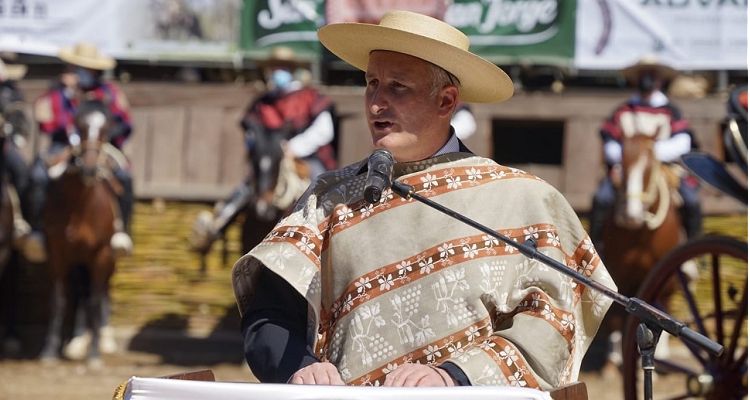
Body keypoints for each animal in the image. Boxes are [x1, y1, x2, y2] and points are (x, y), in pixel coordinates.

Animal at [38, 99, 122, 366]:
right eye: (78, 124)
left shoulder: (101, 253)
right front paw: (50, 350)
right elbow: (59, 300)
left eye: (106, 127)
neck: (80, 207)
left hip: (107, 260)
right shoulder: (57, 253)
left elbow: (95, 300)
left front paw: (94, 354)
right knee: (80, 295)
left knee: (99, 293)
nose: (90, 168)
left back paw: (102, 340)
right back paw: (76, 342)